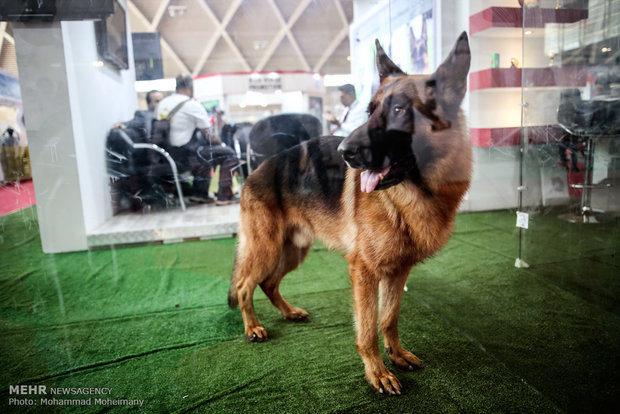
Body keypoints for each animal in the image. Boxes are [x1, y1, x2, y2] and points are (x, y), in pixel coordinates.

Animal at [230, 32, 472, 394]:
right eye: (369, 112)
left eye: (399, 110)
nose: (345, 153)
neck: (414, 193)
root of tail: (254, 171)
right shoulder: (365, 271)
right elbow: (368, 328)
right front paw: (377, 372)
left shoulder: (398, 271)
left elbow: (389, 318)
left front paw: (396, 355)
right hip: (266, 248)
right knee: (246, 286)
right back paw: (253, 328)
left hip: (293, 251)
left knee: (269, 283)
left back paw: (289, 312)